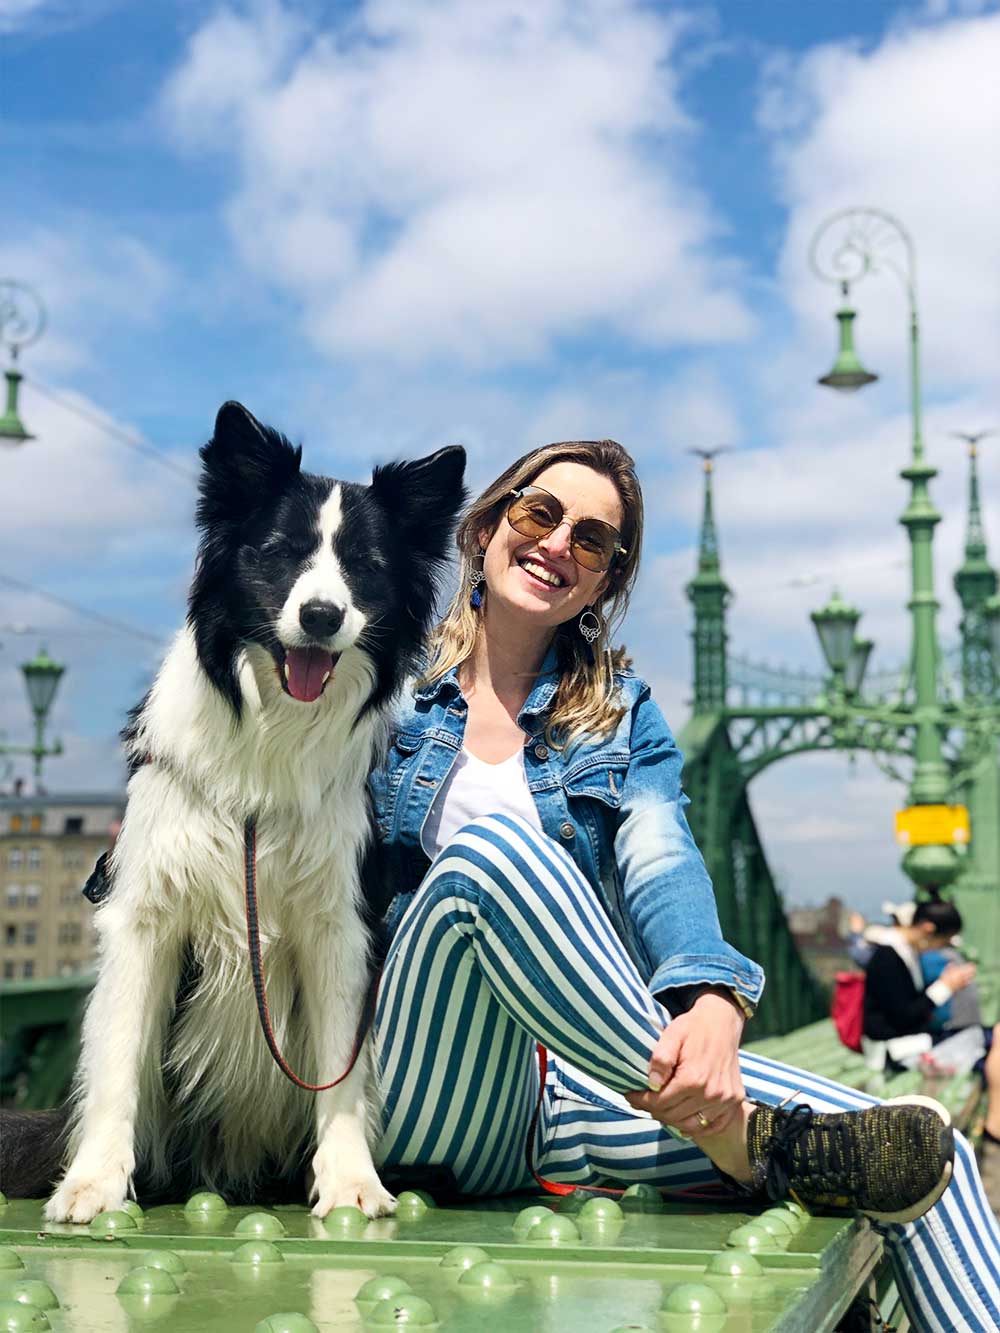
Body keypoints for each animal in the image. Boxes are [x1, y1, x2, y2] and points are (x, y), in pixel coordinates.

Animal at [45, 399, 469, 1221]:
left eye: (365, 565)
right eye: (280, 552)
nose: (323, 613)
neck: (269, 733)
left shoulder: (338, 922)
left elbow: (341, 1066)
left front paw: (350, 1180)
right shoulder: (144, 913)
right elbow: (116, 1060)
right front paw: (94, 1180)